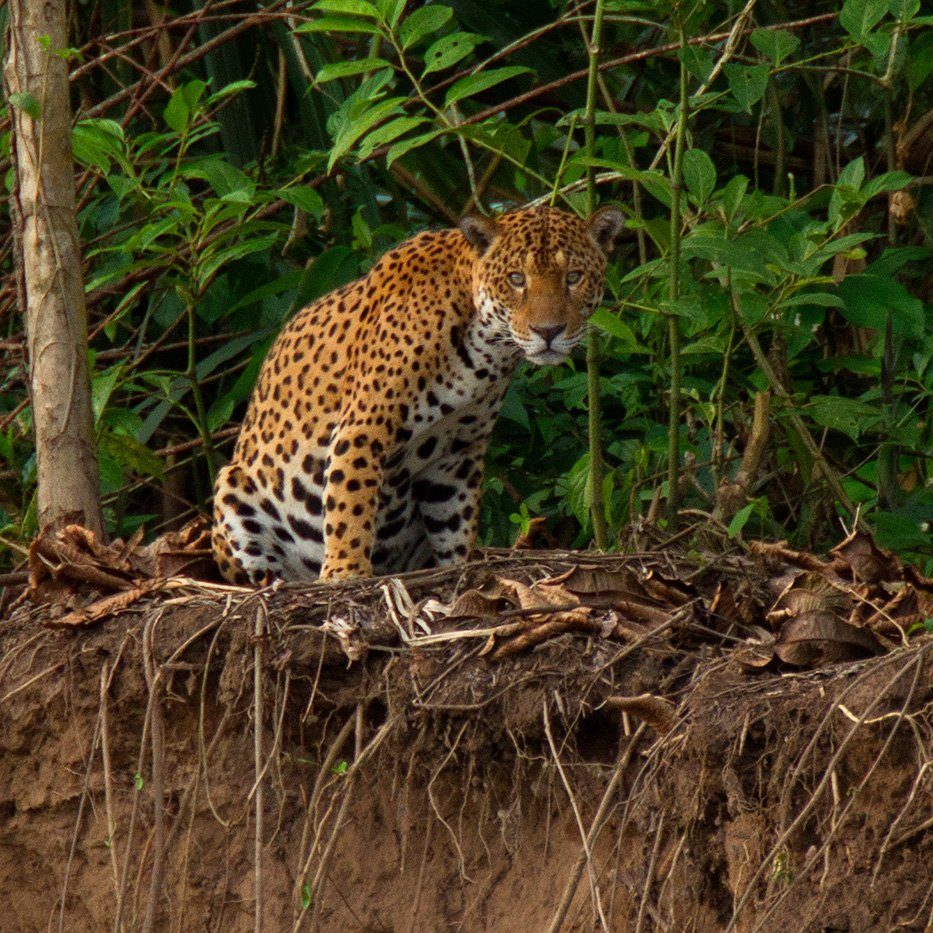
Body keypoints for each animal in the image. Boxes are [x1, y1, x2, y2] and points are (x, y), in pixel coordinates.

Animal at [212, 204, 624, 584]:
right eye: (516, 279)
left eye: (574, 277)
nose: (549, 331)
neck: (483, 350)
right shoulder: (363, 428)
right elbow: (350, 502)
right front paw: (345, 571)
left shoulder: (457, 452)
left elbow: (455, 519)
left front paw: (456, 569)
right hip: (232, 490)